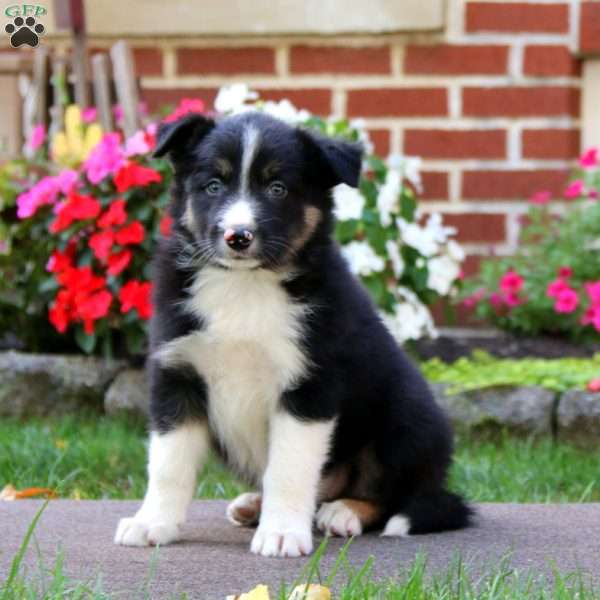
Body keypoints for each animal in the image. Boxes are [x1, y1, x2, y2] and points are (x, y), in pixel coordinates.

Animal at [115, 112, 472, 556]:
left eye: (277, 189)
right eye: (213, 185)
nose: (238, 236)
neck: (245, 285)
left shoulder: (309, 383)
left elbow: (288, 468)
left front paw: (282, 533)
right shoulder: (177, 374)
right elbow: (167, 464)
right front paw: (152, 523)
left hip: (407, 416)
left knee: (393, 496)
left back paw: (344, 512)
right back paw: (254, 505)